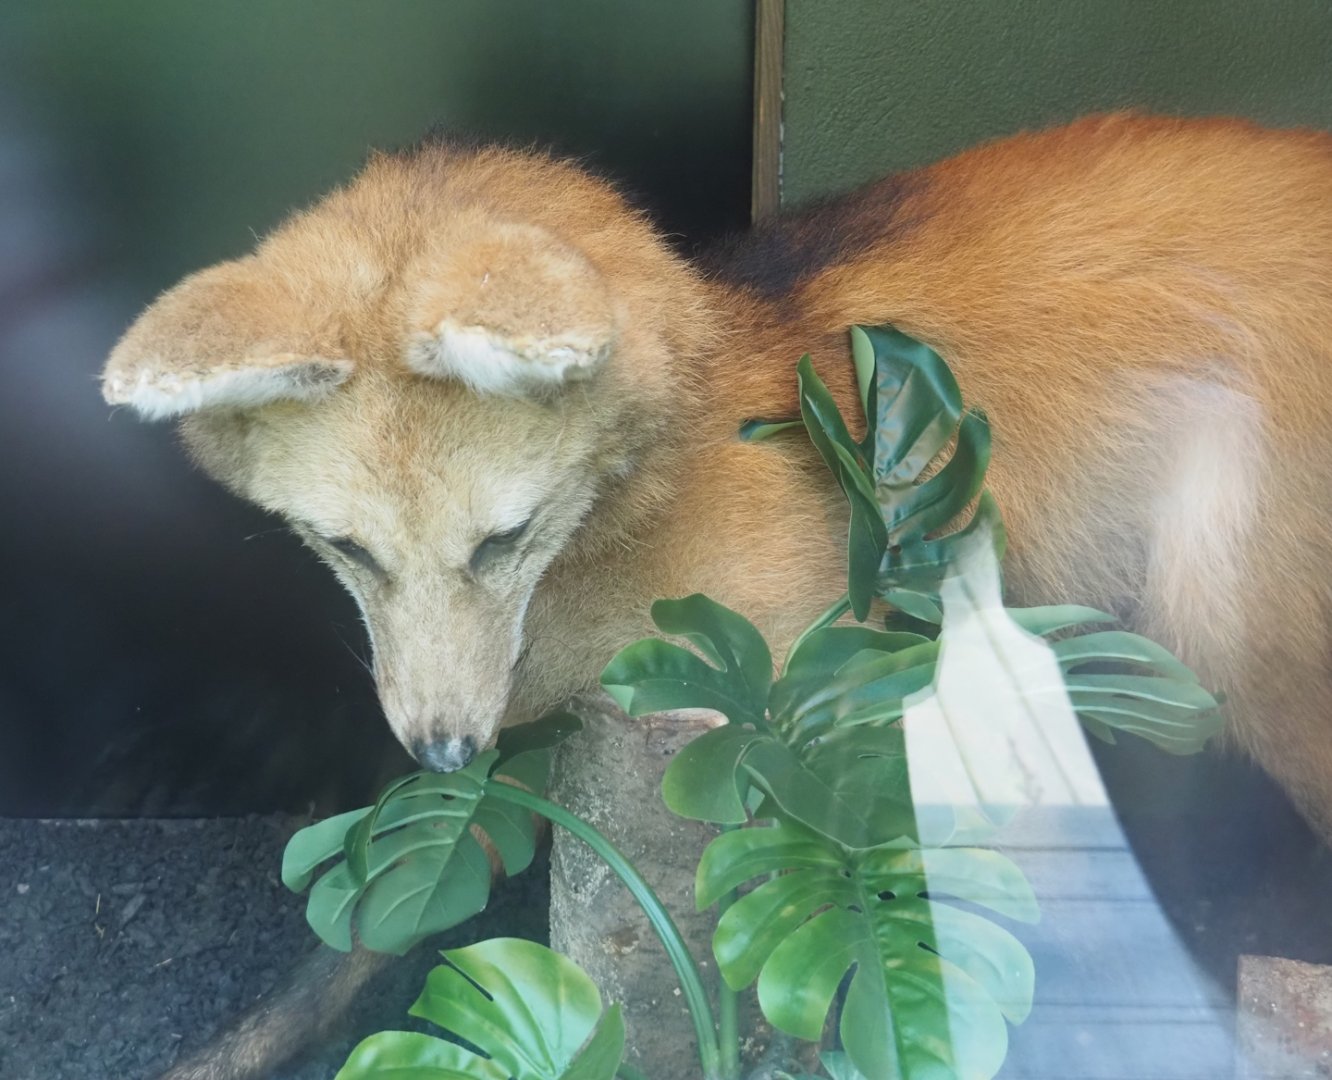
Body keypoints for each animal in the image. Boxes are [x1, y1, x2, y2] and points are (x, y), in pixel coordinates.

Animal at [104, 113, 1332, 1076]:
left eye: (501, 540)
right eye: (347, 550)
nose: (444, 752)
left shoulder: (827, 703)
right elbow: (382, 912)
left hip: (1226, 634)